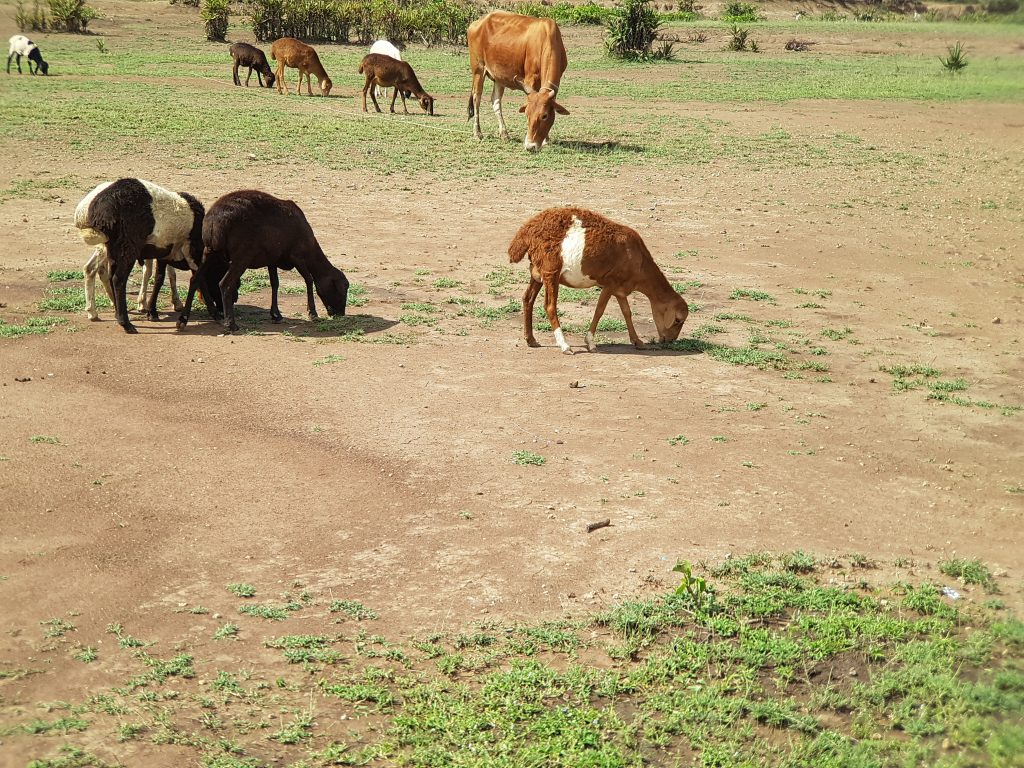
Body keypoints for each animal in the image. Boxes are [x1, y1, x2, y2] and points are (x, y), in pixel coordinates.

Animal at [188, 191, 352, 331]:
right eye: (343, 288)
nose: (341, 313)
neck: (311, 249)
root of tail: (214, 222)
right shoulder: (297, 256)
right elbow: (309, 279)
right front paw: (312, 313)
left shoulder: (272, 259)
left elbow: (275, 283)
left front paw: (276, 314)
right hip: (241, 257)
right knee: (225, 284)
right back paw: (231, 324)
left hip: (209, 251)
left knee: (195, 279)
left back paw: (184, 319)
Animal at [468, 10, 573, 151]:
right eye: (527, 114)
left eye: (544, 116)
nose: (530, 146)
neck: (547, 38)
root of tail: (478, 22)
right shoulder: (530, 79)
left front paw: (546, 139)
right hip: (478, 69)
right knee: (476, 98)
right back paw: (477, 133)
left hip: (498, 77)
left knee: (495, 101)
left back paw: (504, 134)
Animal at [509, 207, 692, 358]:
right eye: (677, 320)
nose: (669, 340)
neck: (638, 260)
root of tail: (526, 232)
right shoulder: (610, 283)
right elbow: (599, 310)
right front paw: (590, 342)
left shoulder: (620, 288)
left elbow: (627, 312)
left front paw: (637, 341)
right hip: (551, 271)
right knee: (550, 306)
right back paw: (564, 345)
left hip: (537, 271)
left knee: (528, 299)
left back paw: (531, 339)